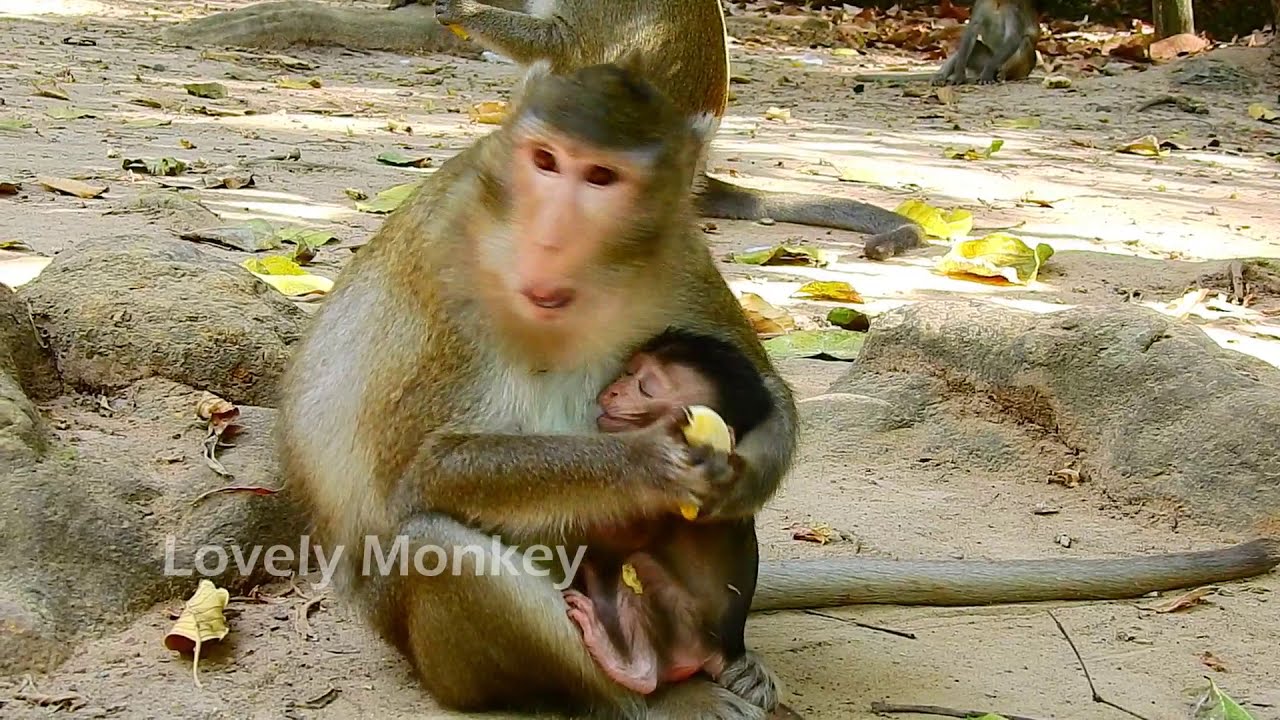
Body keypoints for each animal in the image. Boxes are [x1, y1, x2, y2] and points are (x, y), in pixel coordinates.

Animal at [278, 59, 1280, 719]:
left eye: (601, 177)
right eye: (546, 163)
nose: (551, 233)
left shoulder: (674, 240)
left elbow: (760, 387)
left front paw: (747, 466)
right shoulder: (443, 261)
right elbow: (421, 472)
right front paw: (646, 460)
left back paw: (732, 662)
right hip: (438, 652)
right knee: (432, 540)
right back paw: (638, 693)